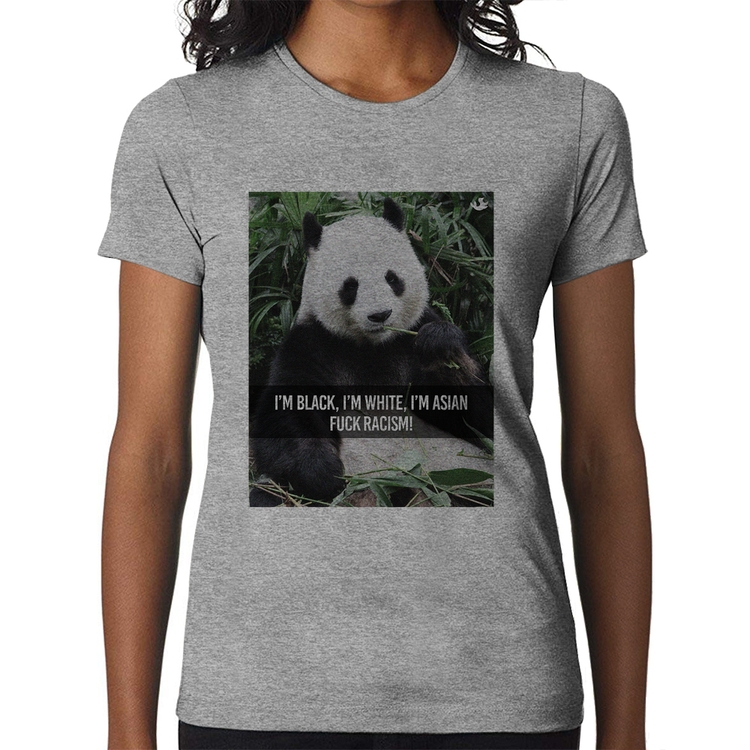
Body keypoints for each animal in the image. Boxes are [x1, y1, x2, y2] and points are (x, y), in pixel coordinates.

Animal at [249, 197, 493, 507]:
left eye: (392, 278)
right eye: (351, 285)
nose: (381, 315)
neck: (372, 347)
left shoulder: (411, 339)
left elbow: (476, 420)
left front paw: (440, 346)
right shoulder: (312, 344)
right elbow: (286, 414)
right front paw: (324, 475)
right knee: (267, 495)